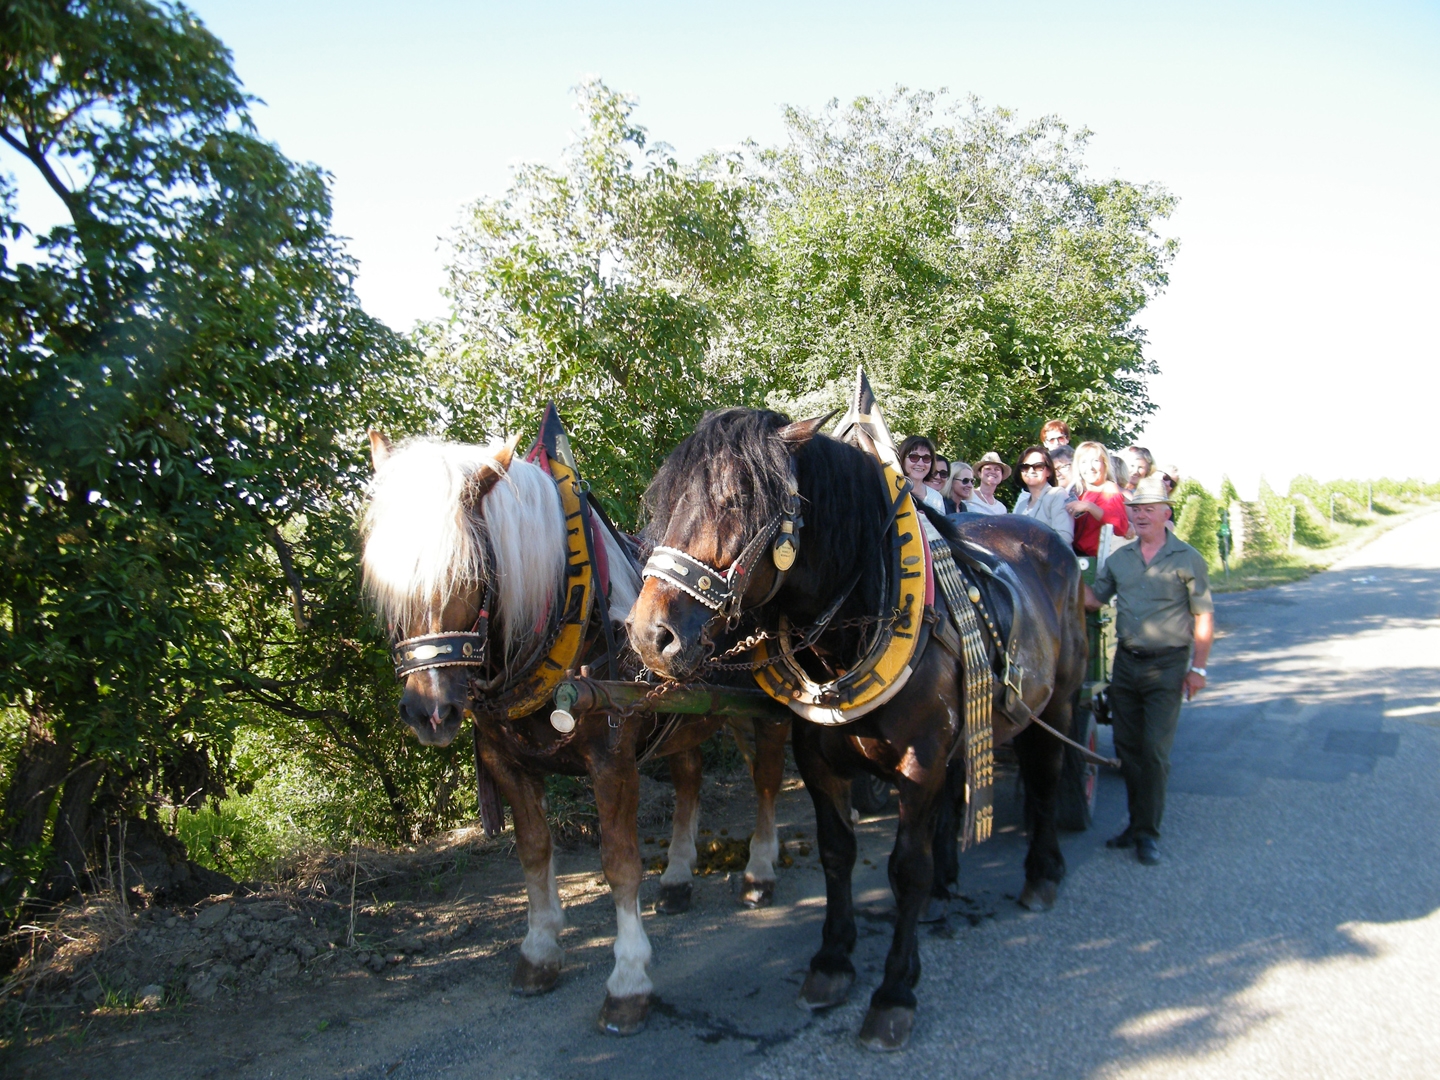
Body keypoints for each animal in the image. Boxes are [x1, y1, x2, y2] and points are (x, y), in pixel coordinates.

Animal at [357, 426, 789, 1036]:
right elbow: (534, 852)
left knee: (767, 780)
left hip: (765, 710)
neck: (567, 615)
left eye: (469, 575)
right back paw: (679, 877)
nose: (429, 712)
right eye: (382, 581)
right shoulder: (506, 761)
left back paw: (759, 871)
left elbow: (620, 864)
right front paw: (539, 951)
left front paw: (628, 980)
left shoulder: (612, 759)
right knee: (689, 779)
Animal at [624, 408, 1082, 1054]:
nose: (649, 636)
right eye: (667, 500)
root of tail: (1050, 544)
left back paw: (1042, 873)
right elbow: (837, 853)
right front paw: (832, 962)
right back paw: (948, 885)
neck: (856, 626)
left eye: (736, 499)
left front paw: (894, 992)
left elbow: (905, 868)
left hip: (1057, 707)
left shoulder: (921, 762)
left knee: (1046, 781)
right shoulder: (819, 760)